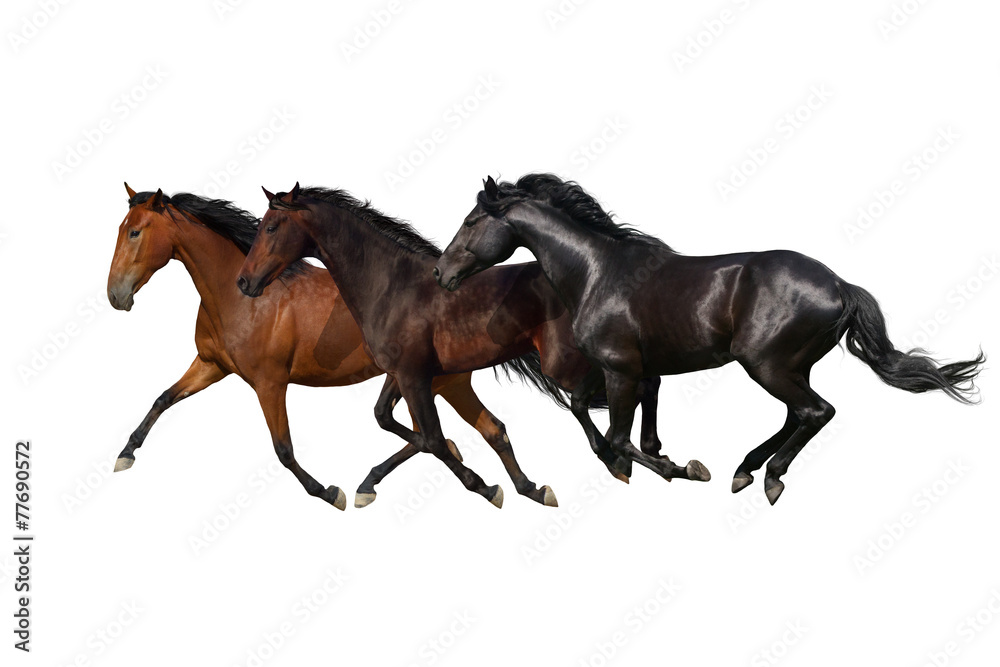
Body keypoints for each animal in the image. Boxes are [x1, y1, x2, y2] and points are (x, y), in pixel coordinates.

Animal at [107, 183, 560, 510]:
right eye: (120, 229)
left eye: (135, 231)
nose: (116, 296)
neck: (238, 300)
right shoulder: (210, 365)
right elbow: (163, 399)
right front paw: (125, 454)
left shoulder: (269, 383)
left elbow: (283, 449)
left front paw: (328, 492)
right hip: (429, 382)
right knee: (464, 430)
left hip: (439, 382)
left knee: (448, 432)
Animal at [236, 184, 676, 507]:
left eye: (271, 227)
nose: (244, 282)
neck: (389, 285)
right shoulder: (404, 374)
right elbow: (389, 419)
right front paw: (529, 487)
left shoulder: (414, 376)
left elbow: (431, 437)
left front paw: (487, 486)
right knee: (644, 384)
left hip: (567, 363)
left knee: (634, 386)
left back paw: (632, 460)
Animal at [434, 174, 985, 505]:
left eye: (471, 221)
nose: (441, 273)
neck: (596, 272)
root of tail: (839, 286)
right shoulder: (639, 372)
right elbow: (611, 420)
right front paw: (640, 462)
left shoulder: (619, 369)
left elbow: (618, 435)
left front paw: (679, 469)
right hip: (789, 367)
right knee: (799, 414)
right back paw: (746, 468)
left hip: (767, 365)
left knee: (815, 412)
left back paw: (768, 476)